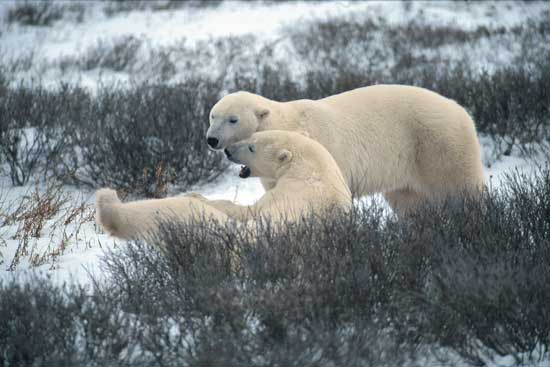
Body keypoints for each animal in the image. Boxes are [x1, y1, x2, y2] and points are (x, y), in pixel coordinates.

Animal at [96, 131, 352, 243]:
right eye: (252, 134)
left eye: (252, 147)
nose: (228, 150)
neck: (312, 169)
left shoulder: (289, 192)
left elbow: (248, 210)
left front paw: (198, 194)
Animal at [207, 86, 488, 216]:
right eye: (212, 116)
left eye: (233, 119)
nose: (212, 139)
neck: (286, 122)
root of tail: (462, 111)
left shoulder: (326, 148)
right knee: (408, 200)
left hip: (438, 146)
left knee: (462, 186)